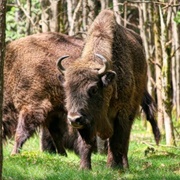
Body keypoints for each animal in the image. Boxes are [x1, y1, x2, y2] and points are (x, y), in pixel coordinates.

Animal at [57, 9, 160, 170]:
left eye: (93, 89)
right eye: (66, 88)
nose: (74, 118)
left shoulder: (121, 114)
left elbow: (117, 142)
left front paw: (113, 167)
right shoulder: (86, 123)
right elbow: (86, 144)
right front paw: (84, 168)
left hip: (132, 110)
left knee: (124, 142)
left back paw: (124, 165)